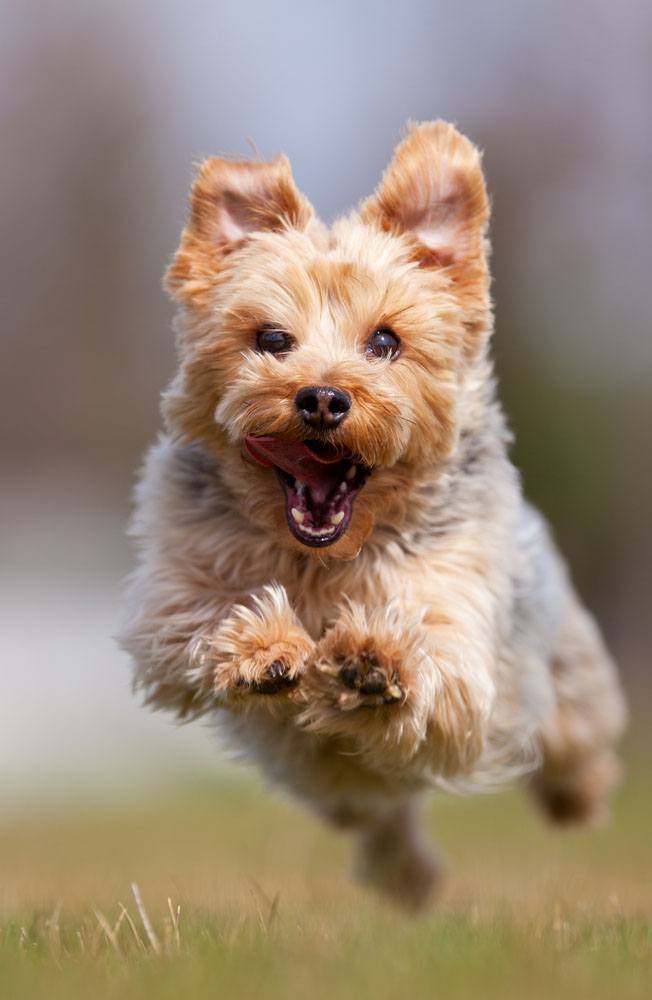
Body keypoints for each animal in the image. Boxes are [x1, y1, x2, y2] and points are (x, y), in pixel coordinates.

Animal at [121, 121, 628, 912]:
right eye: (272, 339)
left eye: (385, 341)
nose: (323, 397)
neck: (322, 558)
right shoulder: (171, 586)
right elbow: (198, 614)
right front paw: (265, 650)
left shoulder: (460, 625)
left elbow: (437, 659)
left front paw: (371, 659)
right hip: (338, 791)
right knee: (380, 814)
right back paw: (407, 879)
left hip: (561, 663)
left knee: (575, 729)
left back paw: (577, 795)